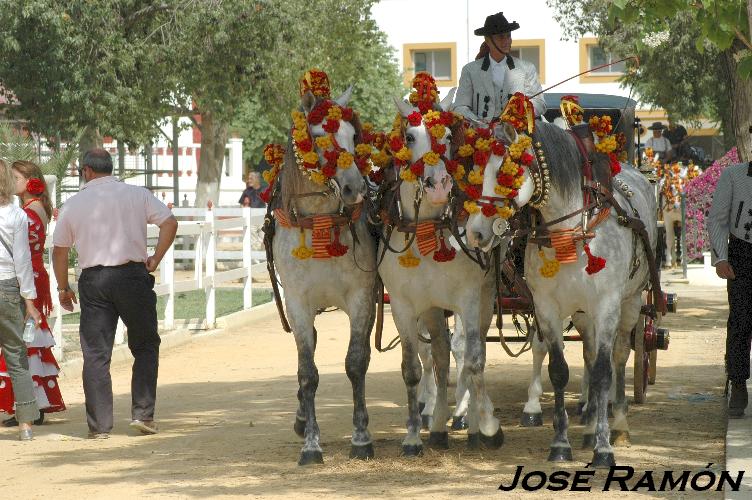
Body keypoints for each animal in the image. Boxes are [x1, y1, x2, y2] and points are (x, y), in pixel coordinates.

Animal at [270, 87, 376, 464]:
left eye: (354, 135)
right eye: (318, 137)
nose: (355, 188)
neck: (318, 221)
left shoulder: (362, 297)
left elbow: (356, 363)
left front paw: (361, 437)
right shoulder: (298, 303)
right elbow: (308, 373)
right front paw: (311, 444)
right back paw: (302, 418)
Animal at [382, 95, 500, 456]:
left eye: (447, 137)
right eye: (409, 137)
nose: (438, 187)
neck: (427, 229)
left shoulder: (468, 300)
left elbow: (473, 360)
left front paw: (483, 426)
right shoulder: (405, 307)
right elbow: (414, 367)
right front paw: (412, 437)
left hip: (484, 300)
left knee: (469, 352)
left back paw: (467, 418)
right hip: (434, 310)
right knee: (440, 356)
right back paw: (436, 425)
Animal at [468, 120, 656, 464]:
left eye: (505, 173)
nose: (475, 232)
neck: (573, 230)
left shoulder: (606, 306)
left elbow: (603, 373)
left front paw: (604, 449)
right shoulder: (547, 308)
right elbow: (559, 370)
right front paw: (560, 444)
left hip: (631, 302)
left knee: (619, 357)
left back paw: (618, 425)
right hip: (582, 313)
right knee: (591, 354)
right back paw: (590, 426)